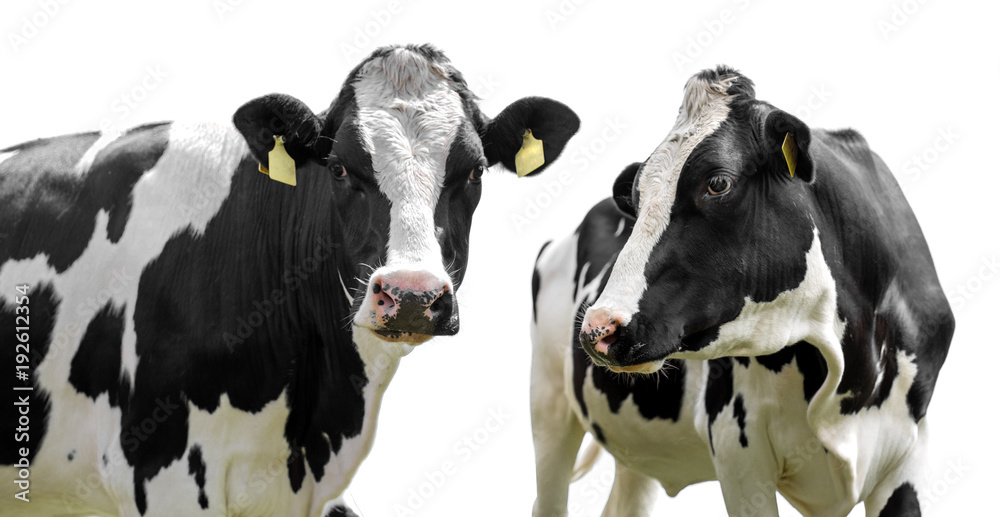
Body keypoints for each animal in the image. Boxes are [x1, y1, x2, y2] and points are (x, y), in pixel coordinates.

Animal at [532, 66, 952, 512]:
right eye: (637, 194)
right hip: (548, 404)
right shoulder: (738, 447)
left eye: (718, 182)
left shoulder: (910, 453)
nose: (599, 328)